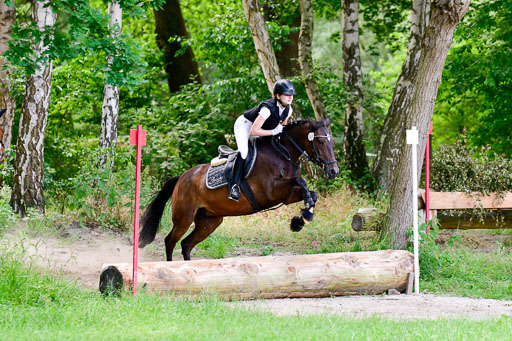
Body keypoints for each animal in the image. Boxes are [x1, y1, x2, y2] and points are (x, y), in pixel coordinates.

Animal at [139, 117, 340, 260]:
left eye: (332, 142)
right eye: (321, 142)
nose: (334, 171)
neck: (282, 153)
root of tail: (181, 178)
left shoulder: (286, 195)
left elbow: (309, 192)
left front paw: (301, 219)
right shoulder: (270, 192)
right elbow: (301, 181)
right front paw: (303, 217)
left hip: (209, 221)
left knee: (186, 244)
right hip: (184, 217)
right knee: (170, 241)